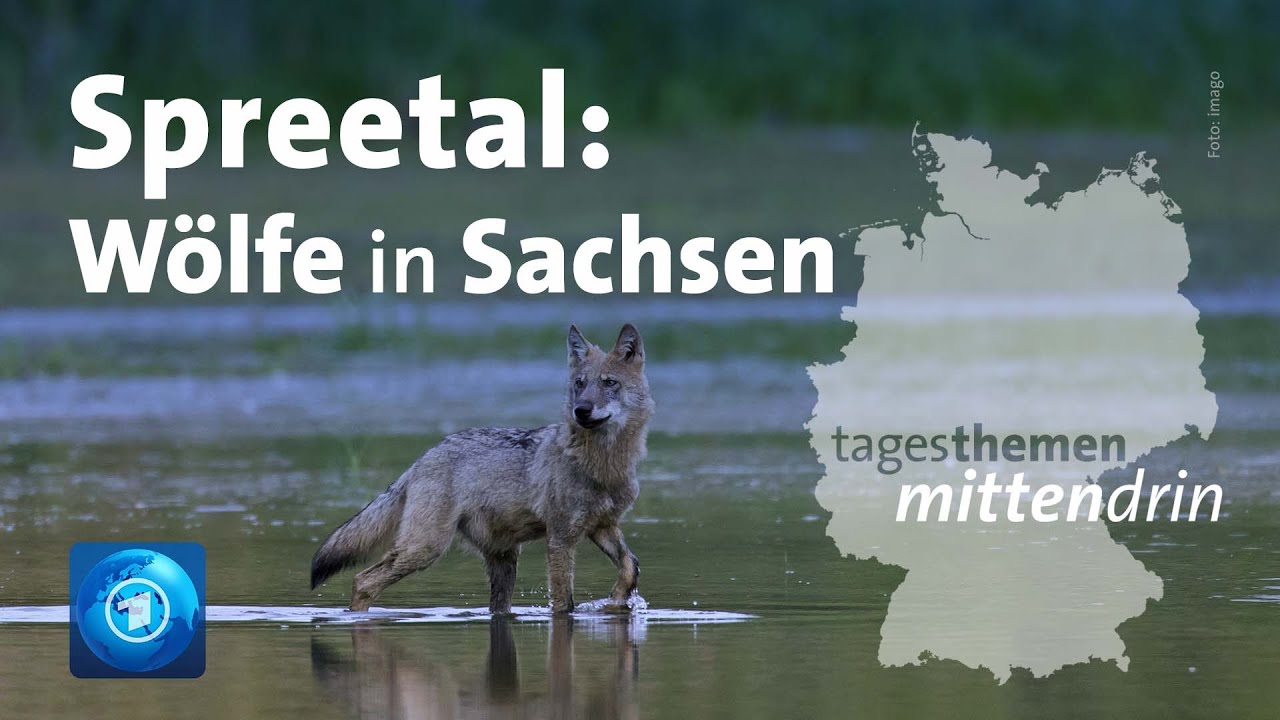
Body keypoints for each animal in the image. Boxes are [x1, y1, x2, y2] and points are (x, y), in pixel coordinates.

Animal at [310, 323, 653, 614]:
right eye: (580, 384)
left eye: (609, 383)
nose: (581, 410)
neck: (603, 466)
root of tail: (423, 458)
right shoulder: (560, 539)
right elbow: (564, 604)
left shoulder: (603, 526)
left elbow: (630, 566)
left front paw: (618, 601)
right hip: (424, 549)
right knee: (363, 581)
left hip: (503, 561)